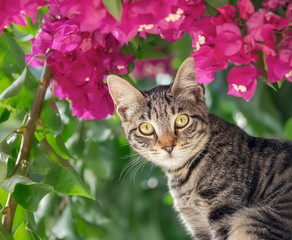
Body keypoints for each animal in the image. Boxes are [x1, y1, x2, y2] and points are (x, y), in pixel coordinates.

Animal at [106, 57, 292, 239]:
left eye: (182, 120)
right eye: (146, 128)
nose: (168, 146)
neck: (184, 177)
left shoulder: (224, 210)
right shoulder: (197, 225)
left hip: (250, 221)